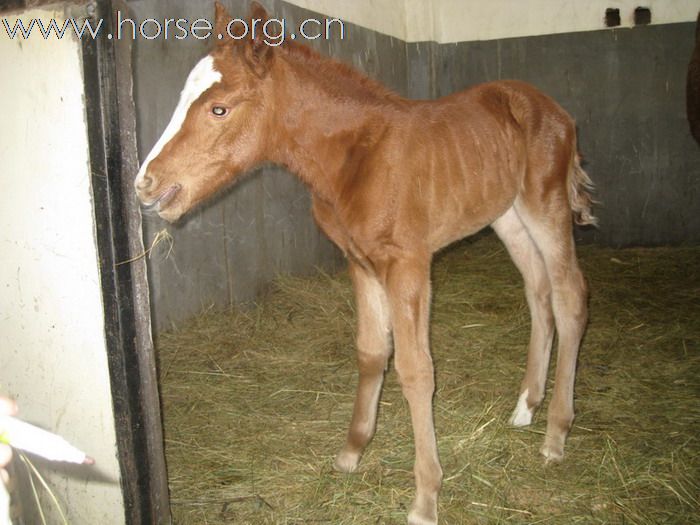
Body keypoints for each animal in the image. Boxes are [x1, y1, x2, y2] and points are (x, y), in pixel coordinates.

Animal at [135, 5, 596, 524]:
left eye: (219, 109)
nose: (145, 184)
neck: (356, 156)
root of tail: (557, 111)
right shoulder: (359, 262)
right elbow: (372, 352)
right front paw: (352, 452)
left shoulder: (408, 264)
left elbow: (417, 370)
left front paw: (425, 497)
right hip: (507, 215)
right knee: (538, 291)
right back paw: (525, 407)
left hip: (545, 205)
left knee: (570, 298)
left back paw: (556, 435)